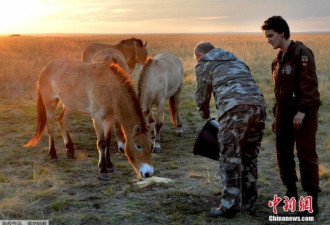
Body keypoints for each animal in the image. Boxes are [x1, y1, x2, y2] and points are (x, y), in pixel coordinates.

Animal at [24, 59, 155, 180]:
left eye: (150, 145)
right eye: (138, 146)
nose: (149, 173)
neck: (110, 89)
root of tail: (45, 68)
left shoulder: (109, 119)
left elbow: (107, 141)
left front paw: (109, 164)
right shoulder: (97, 119)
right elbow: (101, 143)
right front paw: (102, 170)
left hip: (70, 105)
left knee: (61, 121)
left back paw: (70, 149)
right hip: (50, 103)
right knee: (51, 127)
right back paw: (53, 154)